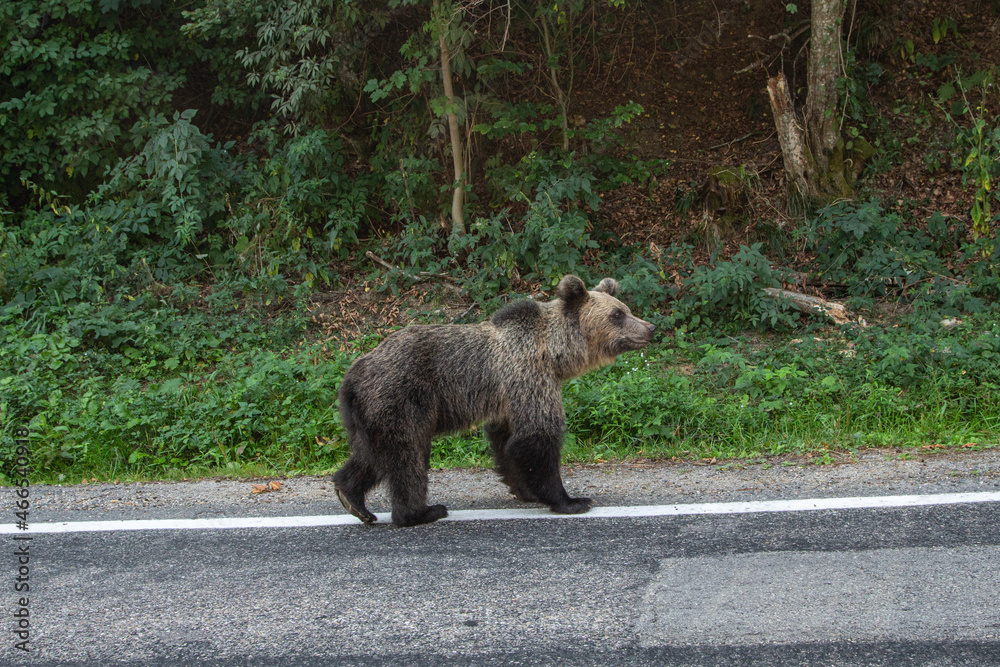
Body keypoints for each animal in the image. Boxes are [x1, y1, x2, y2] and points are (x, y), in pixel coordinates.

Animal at [332, 274, 655, 527]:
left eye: (626, 309)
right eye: (617, 315)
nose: (650, 327)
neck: (554, 353)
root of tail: (352, 376)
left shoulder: (509, 398)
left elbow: (506, 442)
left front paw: (525, 489)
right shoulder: (528, 375)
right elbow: (536, 436)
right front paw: (571, 499)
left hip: (369, 412)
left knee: (371, 454)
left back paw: (351, 497)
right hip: (401, 397)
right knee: (407, 455)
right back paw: (421, 512)